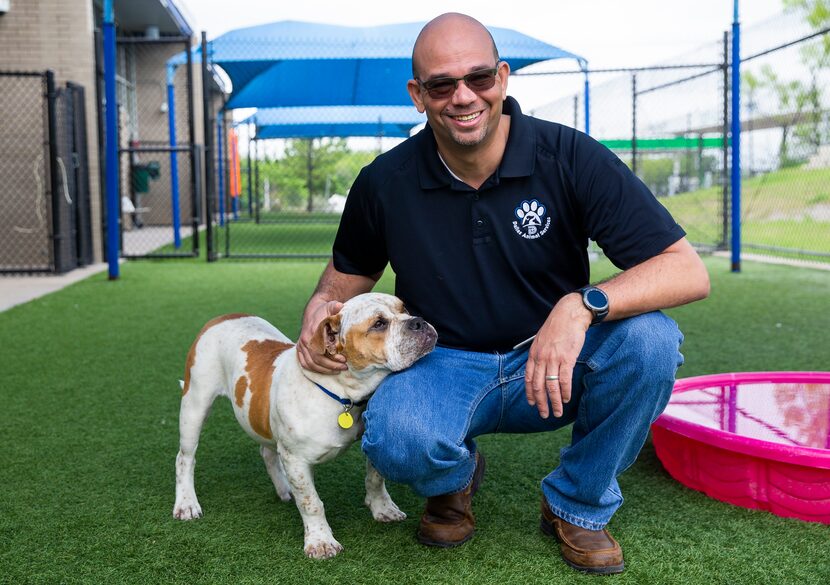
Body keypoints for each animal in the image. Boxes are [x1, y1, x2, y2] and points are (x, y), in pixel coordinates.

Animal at [172, 292, 438, 556]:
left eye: (404, 309)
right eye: (379, 324)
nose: (418, 321)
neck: (343, 393)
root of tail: (221, 318)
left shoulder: (371, 445)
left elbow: (375, 479)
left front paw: (383, 509)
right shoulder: (295, 459)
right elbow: (311, 502)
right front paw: (321, 542)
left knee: (267, 452)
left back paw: (284, 488)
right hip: (195, 404)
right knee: (185, 458)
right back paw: (186, 504)